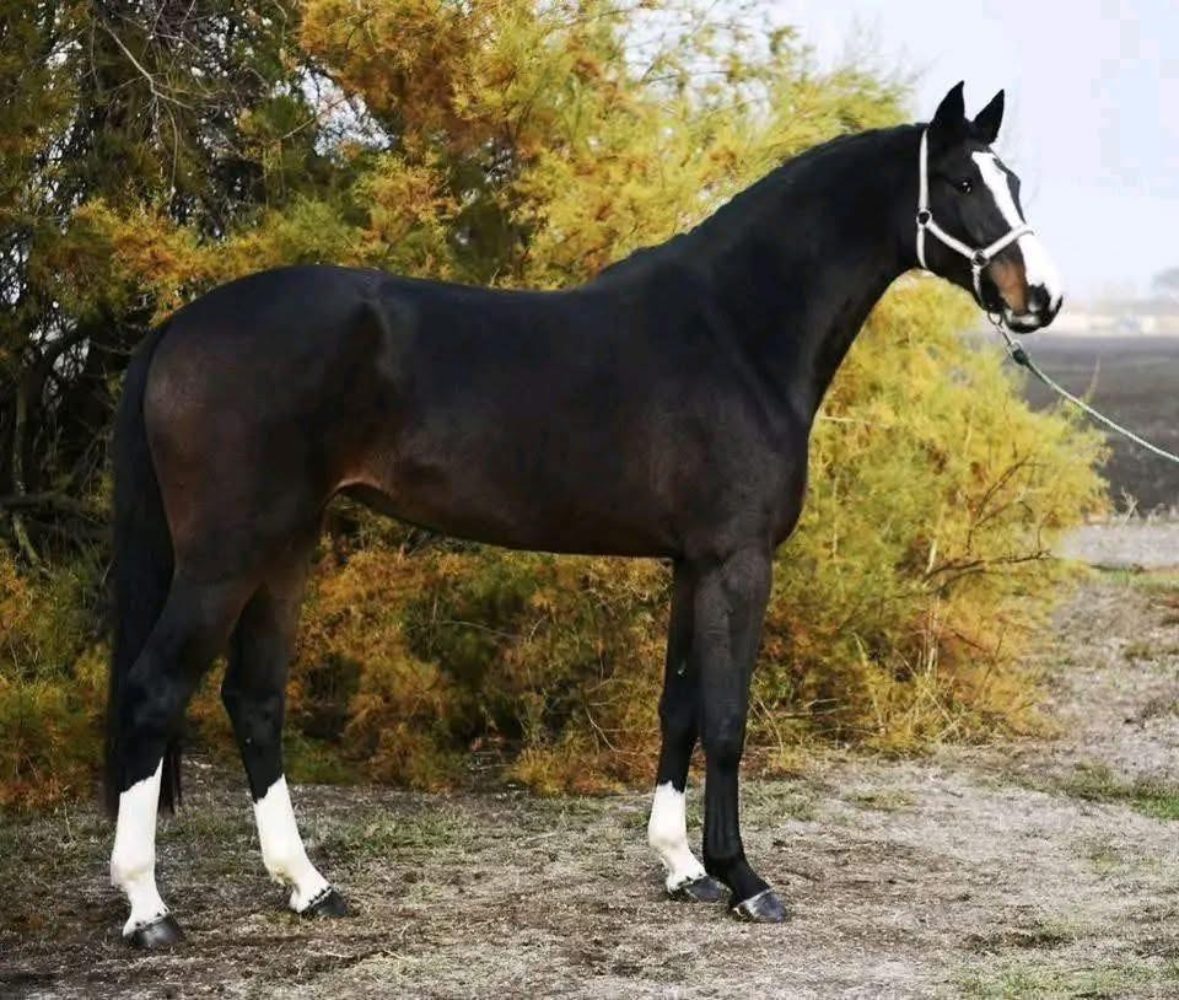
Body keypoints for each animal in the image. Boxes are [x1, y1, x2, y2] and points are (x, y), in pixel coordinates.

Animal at [105, 81, 1062, 947]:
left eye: (1014, 179)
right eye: (963, 182)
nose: (1040, 298)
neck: (735, 331)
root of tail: (182, 325)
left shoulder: (690, 562)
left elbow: (679, 707)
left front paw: (681, 869)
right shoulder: (737, 560)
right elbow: (726, 717)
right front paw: (743, 880)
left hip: (285, 546)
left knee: (254, 698)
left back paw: (307, 887)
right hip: (227, 555)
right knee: (154, 693)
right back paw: (149, 910)